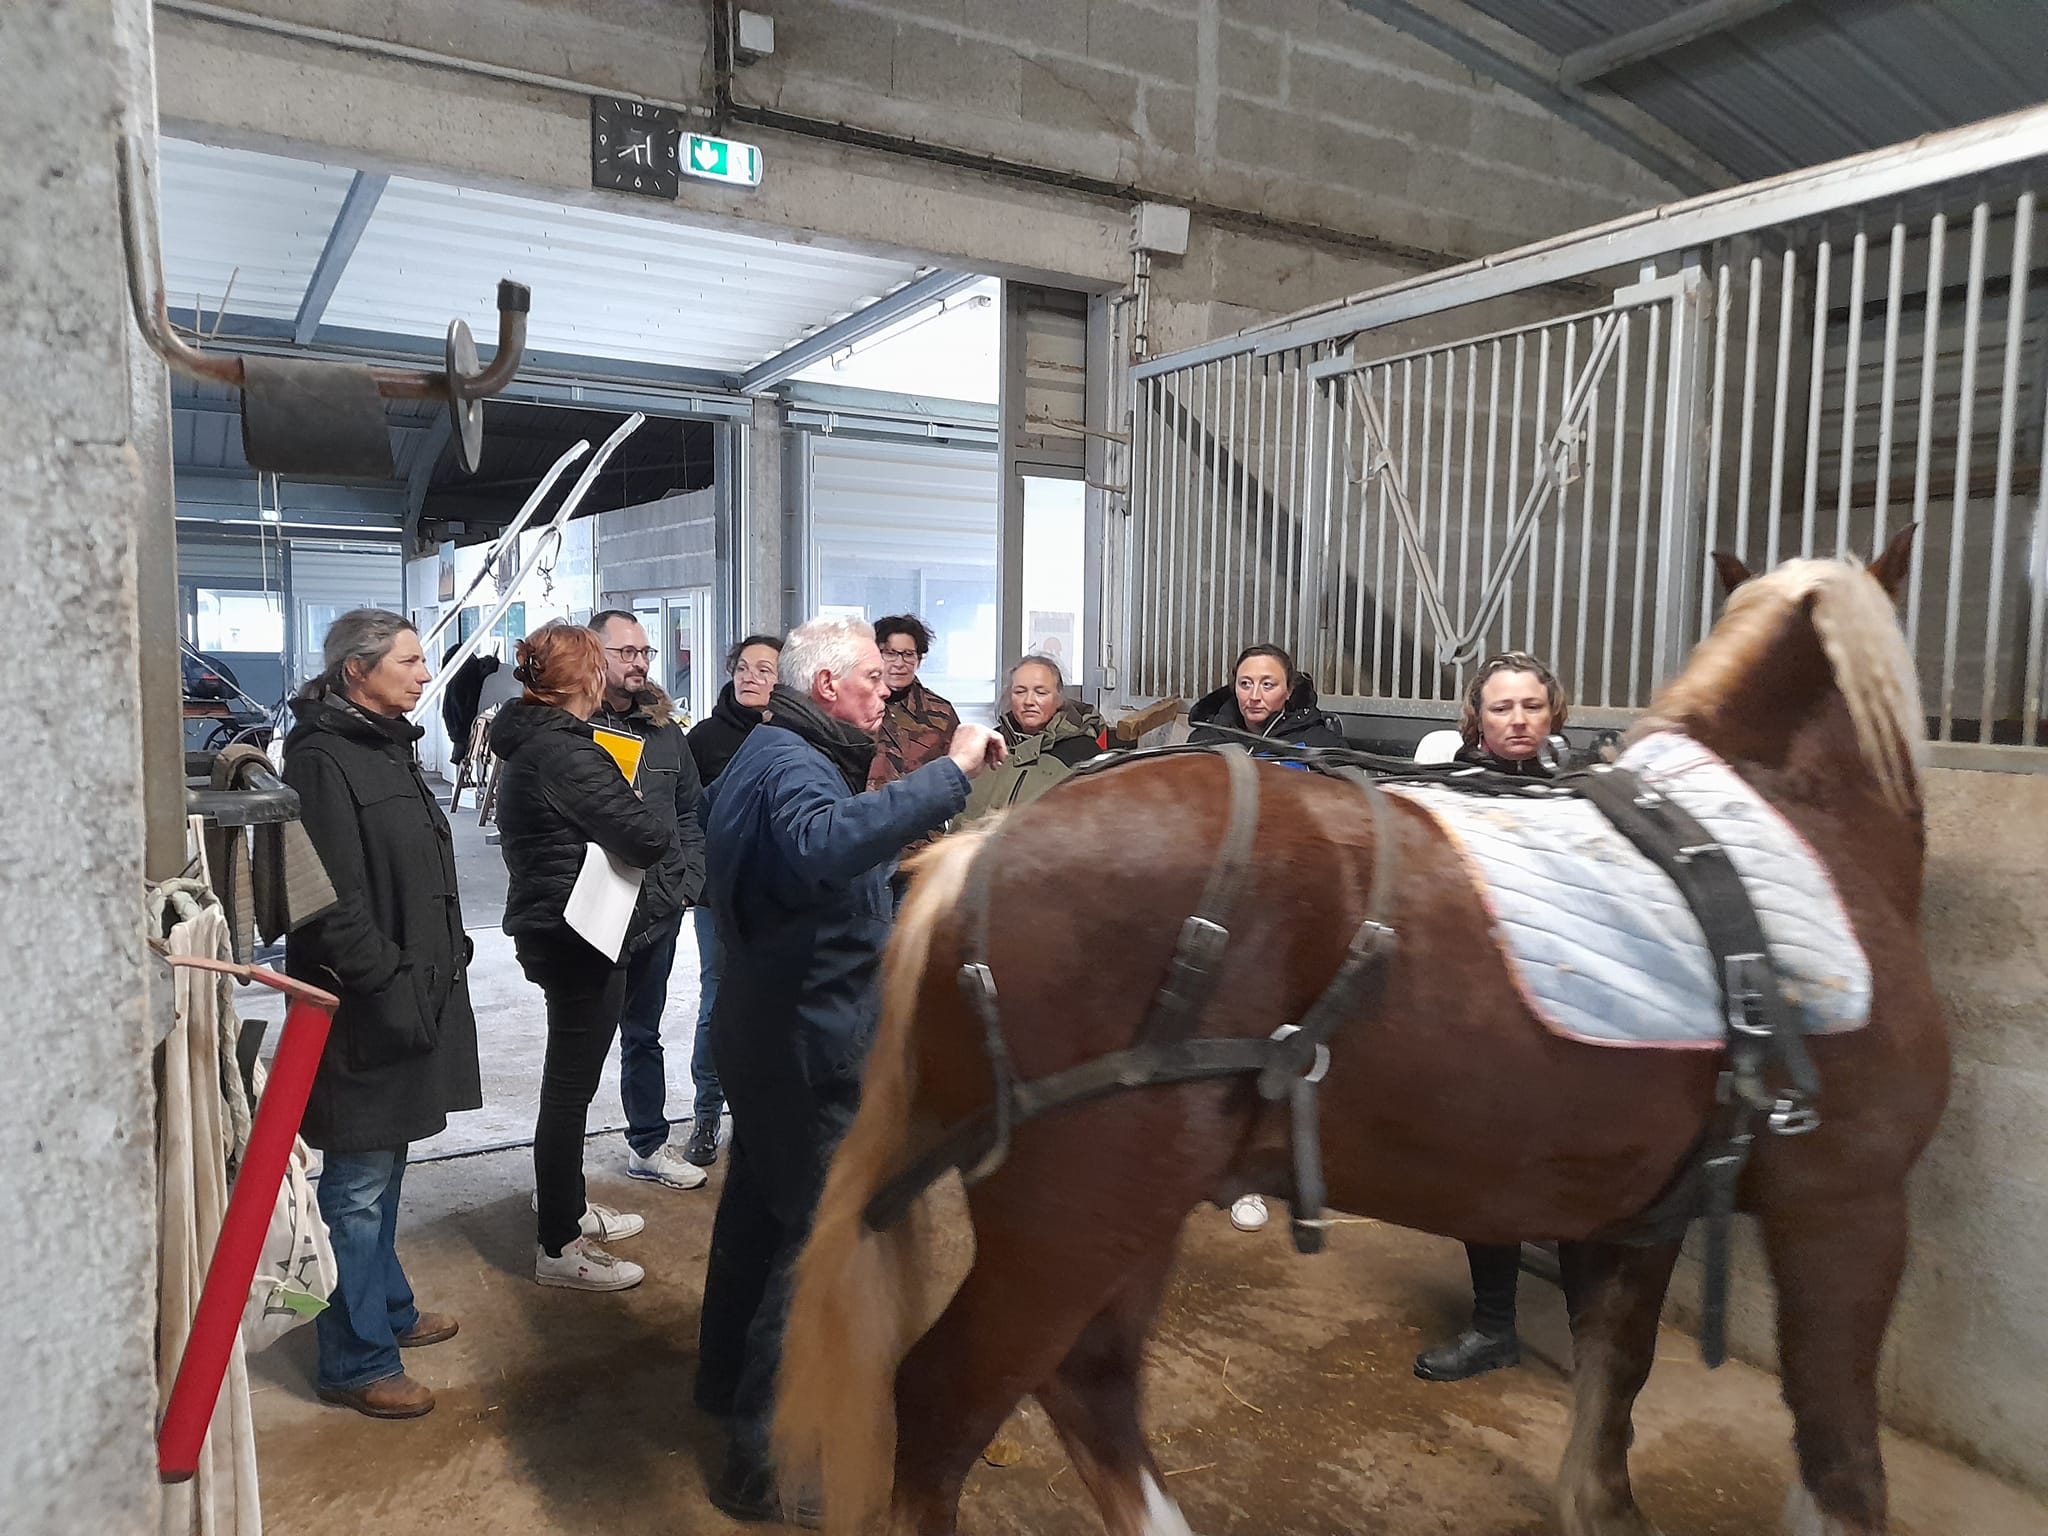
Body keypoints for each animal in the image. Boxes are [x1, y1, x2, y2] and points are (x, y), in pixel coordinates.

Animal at [774, 532, 1941, 1536]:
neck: (1781, 827)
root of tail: (977, 855)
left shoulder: (1637, 1211)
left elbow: (1617, 1374)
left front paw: (1601, 1507)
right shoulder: (1846, 1204)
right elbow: (1839, 1454)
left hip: (1126, 1212)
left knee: (1087, 1384)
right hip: (1075, 1214)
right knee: (945, 1405)